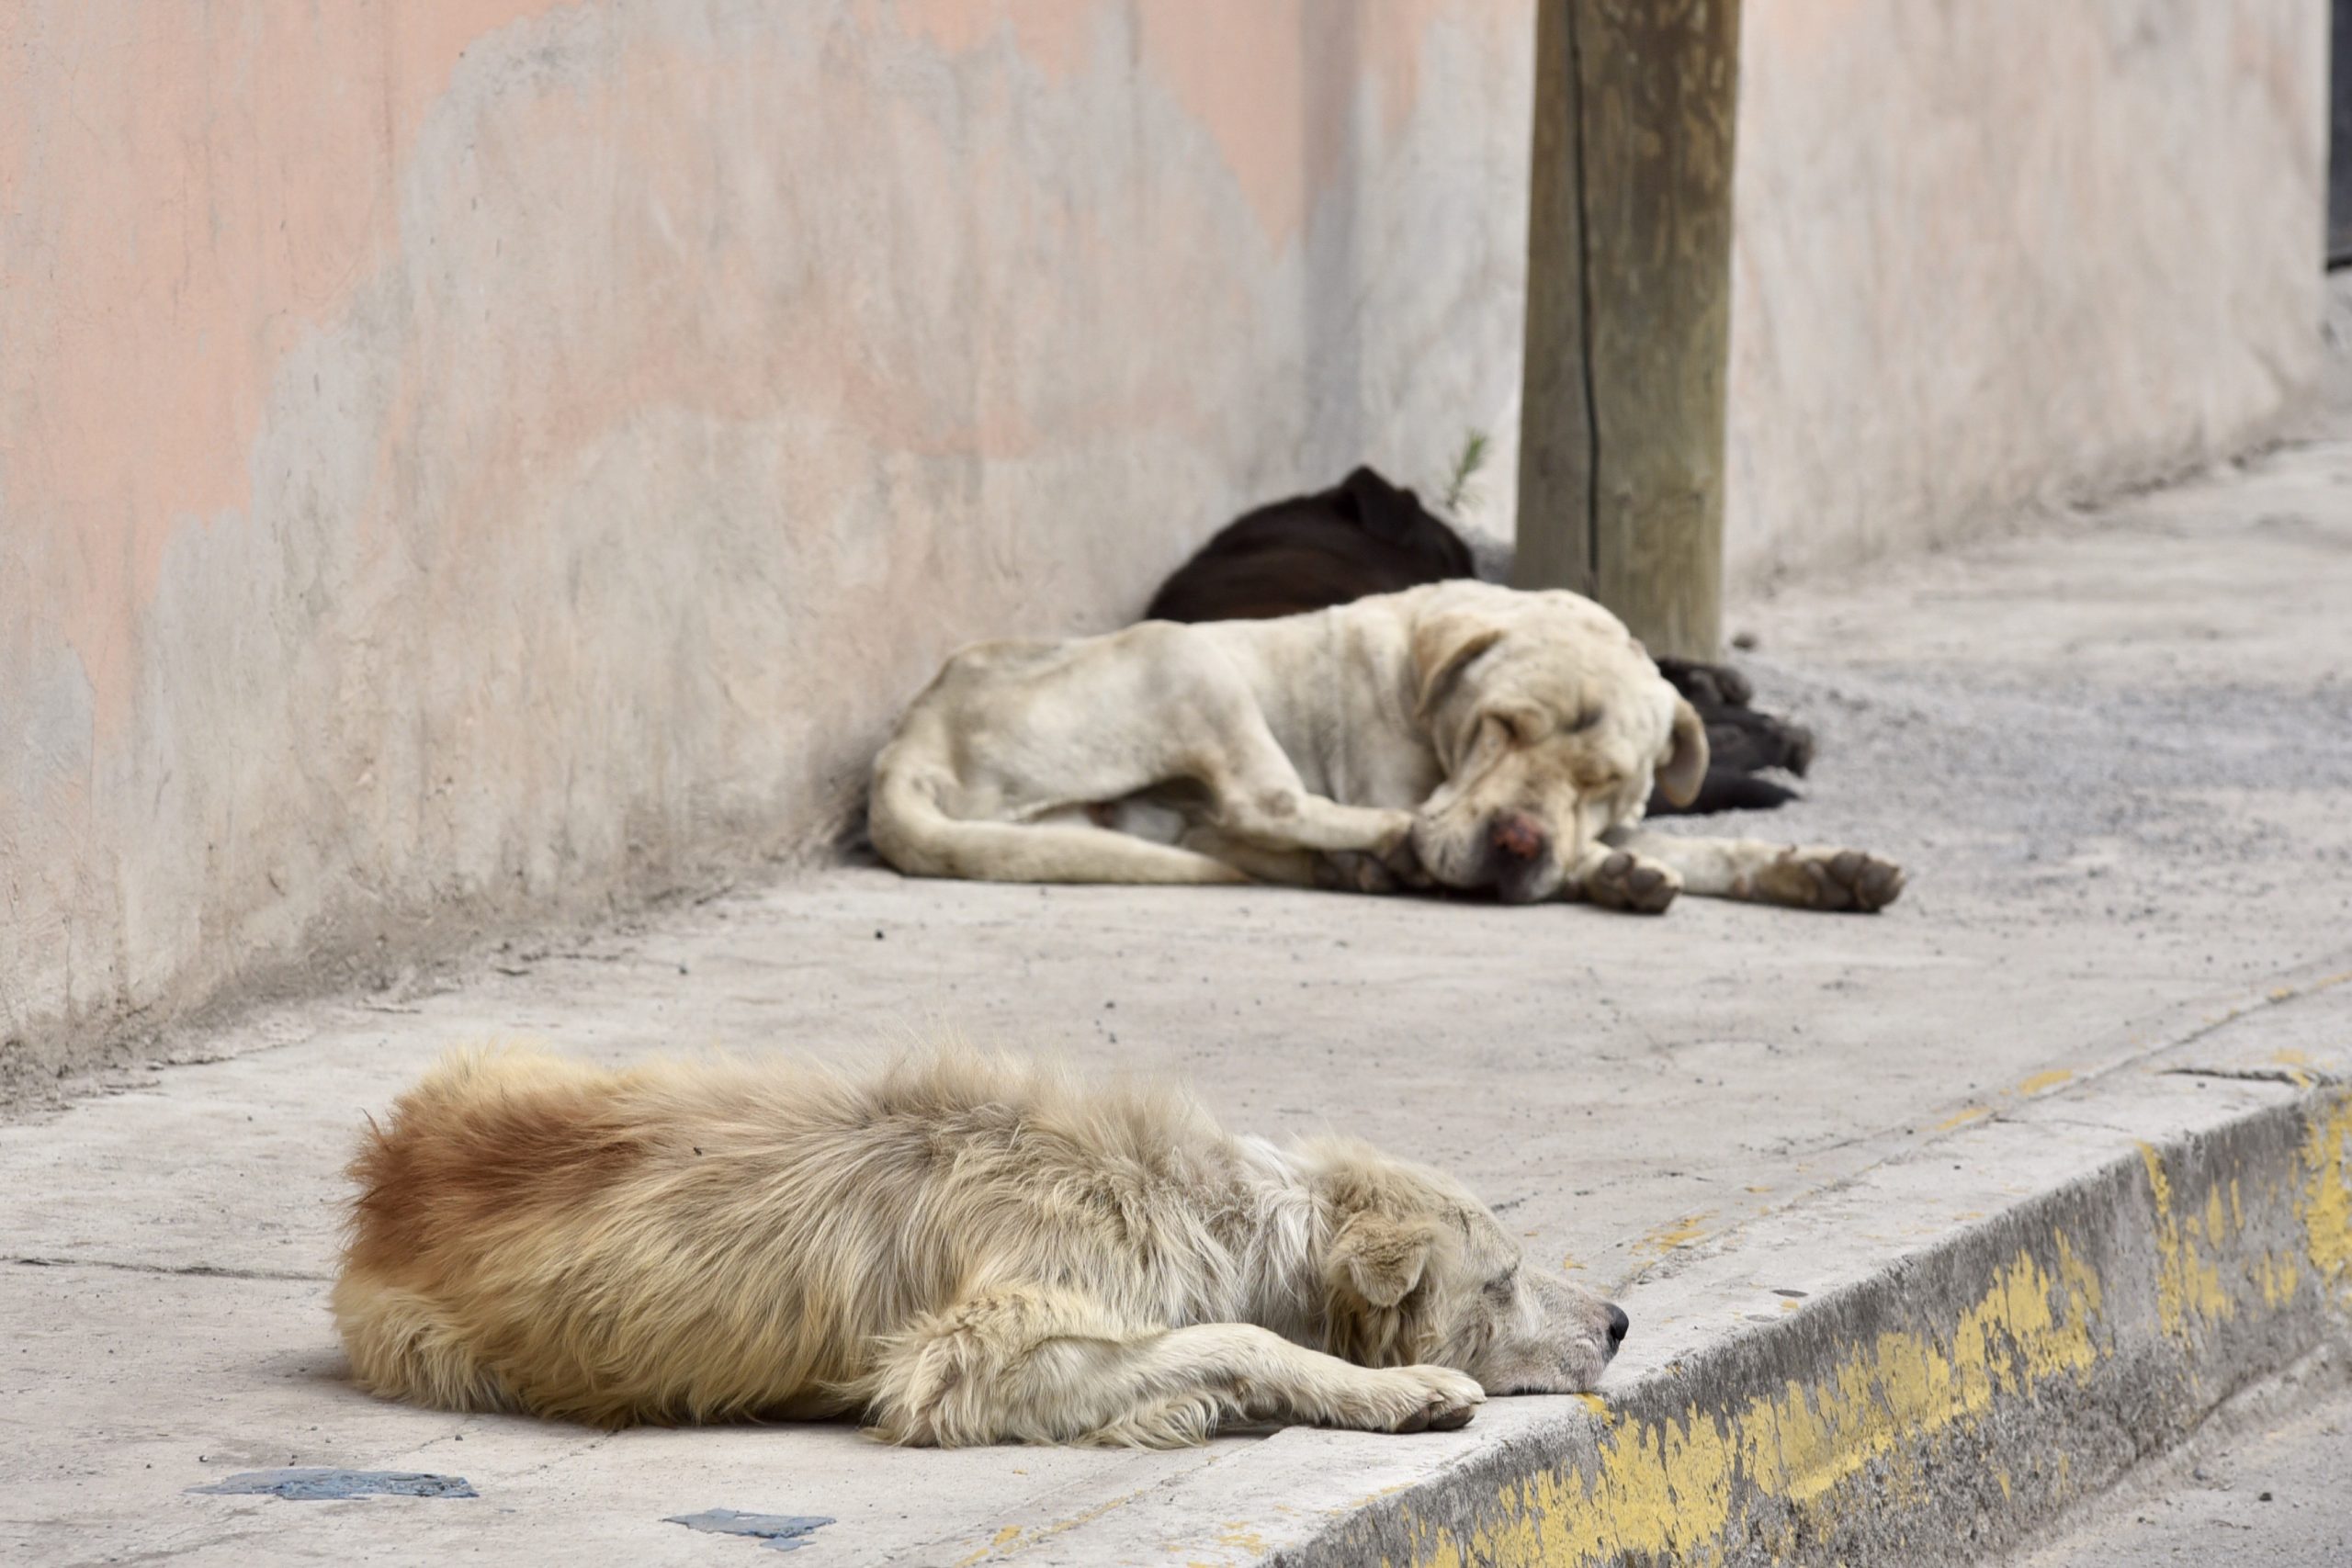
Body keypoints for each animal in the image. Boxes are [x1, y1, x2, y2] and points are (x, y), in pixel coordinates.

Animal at [326, 1043, 1618, 1448]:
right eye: (1503, 1283)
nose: (1620, 1321)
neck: (1208, 1211)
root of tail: (387, 1173)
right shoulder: (966, 1359)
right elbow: (1235, 1337)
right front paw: (1393, 1388)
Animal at [875, 582, 1900, 911]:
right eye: (1502, 727)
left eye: (1604, 779)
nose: (1517, 843)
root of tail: (907, 744)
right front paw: (1605, 872)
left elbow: (1702, 844)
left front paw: (1819, 866)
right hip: (1185, 654)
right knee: (1267, 802)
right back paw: (1386, 848)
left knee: (1240, 827)